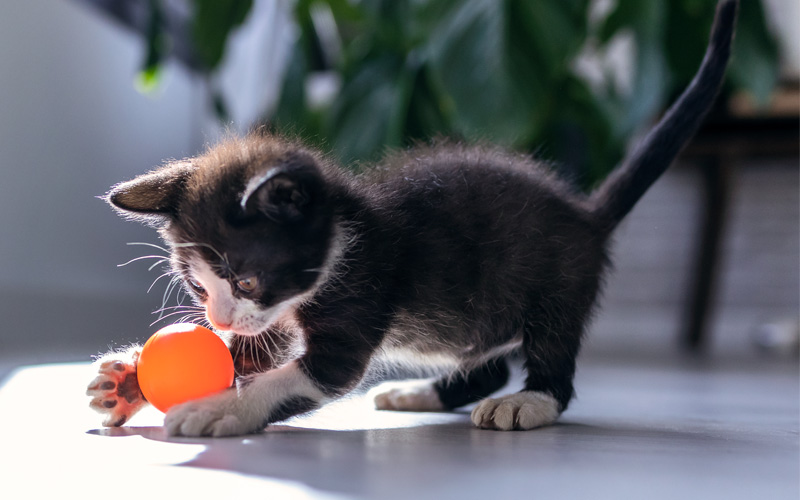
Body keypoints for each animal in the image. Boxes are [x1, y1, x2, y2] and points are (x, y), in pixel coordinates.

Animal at [87, 0, 736, 436]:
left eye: (245, 279)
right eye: (199, 287)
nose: (217, 319)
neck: (344, 239)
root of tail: (585, 213)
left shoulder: (361, 291)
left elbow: (302, 375)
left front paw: (220, 408)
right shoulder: (274, 317)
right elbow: (253, 353)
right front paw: (127, 383)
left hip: (558, 280)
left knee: (552, 351)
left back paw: (530, 402)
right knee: (485, 364)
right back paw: (423, 394)